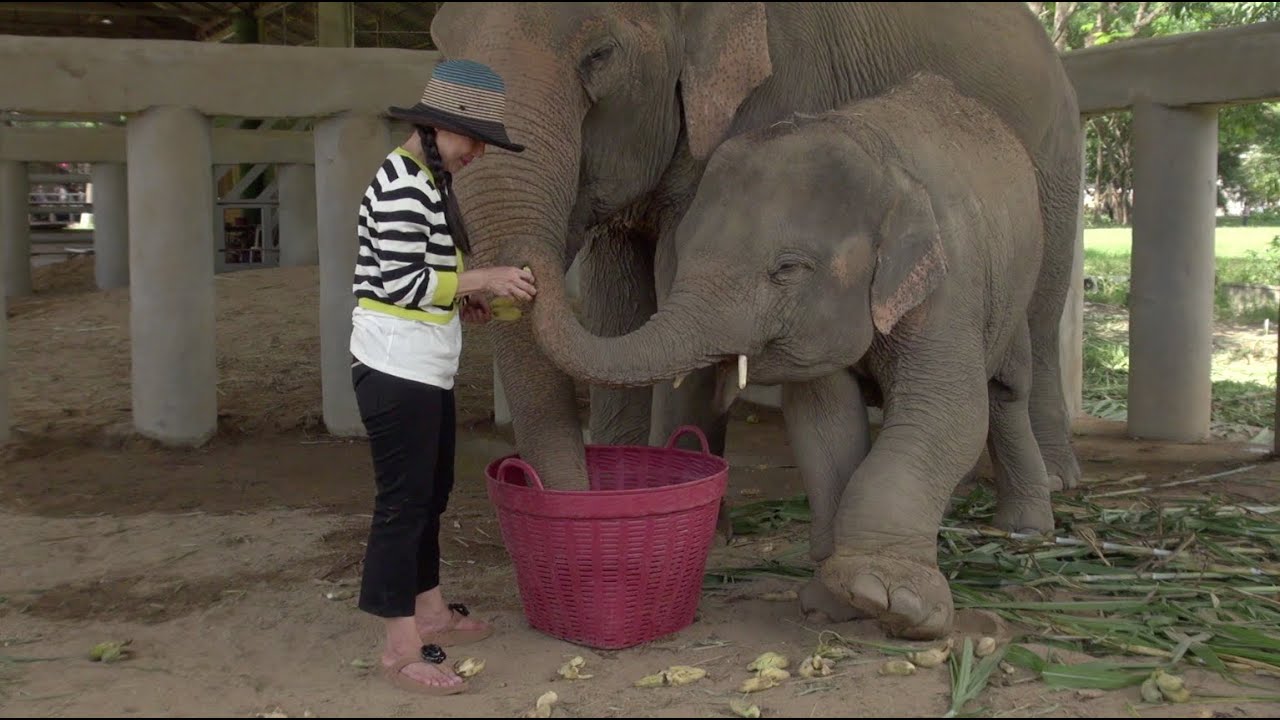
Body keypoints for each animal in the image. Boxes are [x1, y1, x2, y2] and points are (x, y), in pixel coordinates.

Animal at [430, 3, 1082, 497]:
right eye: (439, 46)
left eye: (600, 54)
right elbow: (616, 299)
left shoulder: (775, 94)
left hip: (1056, 159)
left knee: (1041, 310)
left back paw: (1055, 481)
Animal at [529, 71, 1059, 640]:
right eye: (683, 252)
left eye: (786, 269)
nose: (531, 266)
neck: (873, 154)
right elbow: (823, 424)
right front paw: (833, 601)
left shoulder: (950, 283)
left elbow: (948, 412)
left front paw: (895, 602)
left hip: (1017, 282)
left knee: (1006, 391)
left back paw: (1027, 529)